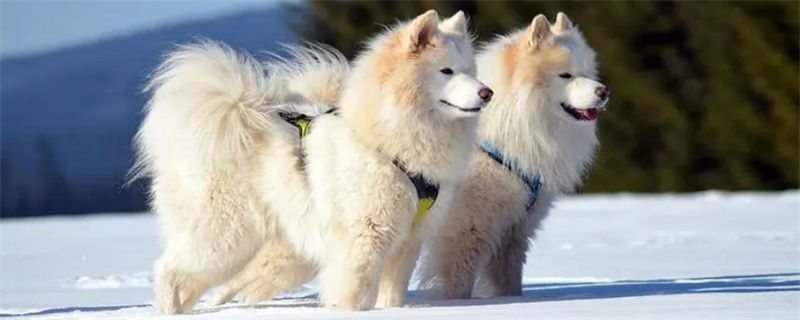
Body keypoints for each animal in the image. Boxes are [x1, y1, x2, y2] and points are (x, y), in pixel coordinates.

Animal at [133, 9, 488, 312]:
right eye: (446, 71)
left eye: (471, 72)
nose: (487, 93)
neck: (385, 142)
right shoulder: (365, 237)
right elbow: (355, 291)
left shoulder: (408, 242)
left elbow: (391, 295)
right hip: (225, 235)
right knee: (168, 269)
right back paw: (168, 310)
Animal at [418, 11, 608, 298]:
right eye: (565, 75)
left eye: (587, 73)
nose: (604, 91)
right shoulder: (464, 231)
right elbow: (458, 283)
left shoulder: (514, 232)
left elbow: (510, 283)